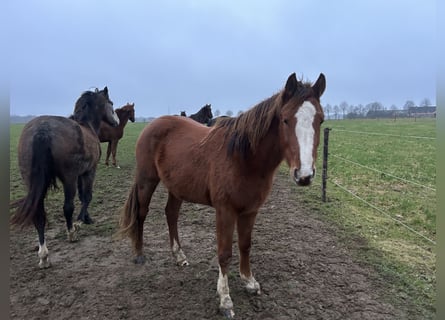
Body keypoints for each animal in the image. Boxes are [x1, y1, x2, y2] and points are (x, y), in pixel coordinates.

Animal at [11, 86, 119, 268]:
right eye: (110, 102)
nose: (116, 122)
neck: (87, 126)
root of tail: (42, 130)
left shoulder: (81, 174)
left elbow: (83, 197)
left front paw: (87, 218)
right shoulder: (89, 171)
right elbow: (87, 196)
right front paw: (79, 222)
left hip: (30, 181)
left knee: (38, 214)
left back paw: (43, 255)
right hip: (69, 178)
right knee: (67, 206)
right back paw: (71, 233)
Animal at [118, 73, 326, 318]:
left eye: (320, 120)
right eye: (285, 120)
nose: (304, 175)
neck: (243, 158)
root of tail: (153, 124)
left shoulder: (250, 210)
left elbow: (245, 245)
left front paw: (249, 282)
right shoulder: (225, 211)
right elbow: (225, 253)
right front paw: (225, 300)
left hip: (177, 187)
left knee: (171, 214)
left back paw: (179, 256)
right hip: (146, 180)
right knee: (141, 213)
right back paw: (139, 254)